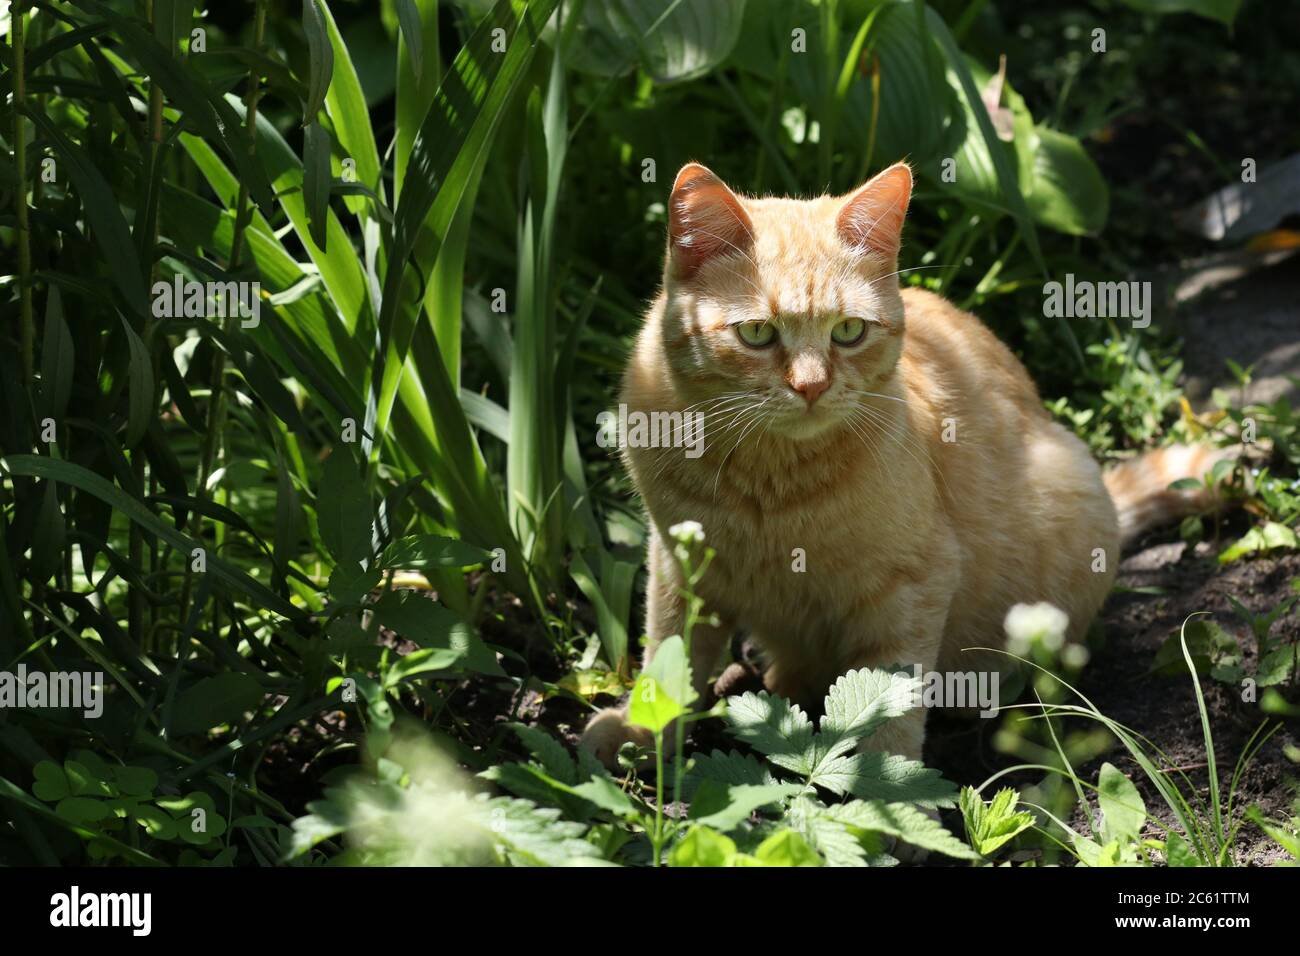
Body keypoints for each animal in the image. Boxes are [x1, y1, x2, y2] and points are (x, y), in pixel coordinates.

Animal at [585, 160, 1222, 764]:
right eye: (758, 333)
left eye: (847, 331)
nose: (811, 386)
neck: (773, 480)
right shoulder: (678, 561)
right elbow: (671, 651)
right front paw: (641, 731)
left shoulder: (912, 583)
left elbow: (890, 696)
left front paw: (884, 790)